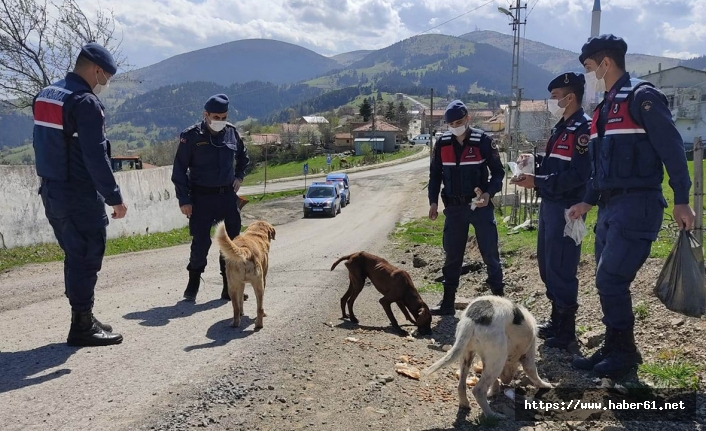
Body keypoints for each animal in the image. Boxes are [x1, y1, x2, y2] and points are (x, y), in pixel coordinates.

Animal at [420, 296, 552, 418]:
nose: (506, 382)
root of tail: (471, 320)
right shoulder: (529, 352)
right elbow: (533, 373)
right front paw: (547, 385)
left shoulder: (487, 359)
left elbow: (494, 381)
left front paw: (493, 392)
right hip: (497, 359)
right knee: (478, 390)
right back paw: (493, 415)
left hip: (467, 353)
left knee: (461, 385)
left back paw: (465, 404)